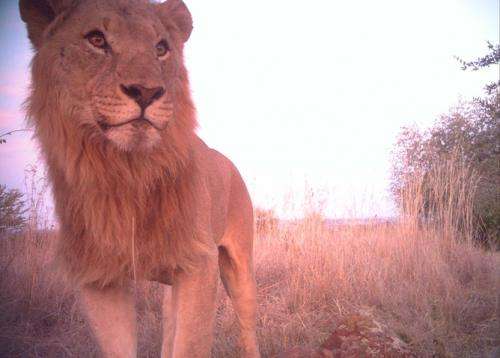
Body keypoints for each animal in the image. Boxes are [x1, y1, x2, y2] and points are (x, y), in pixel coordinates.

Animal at [17, 0, 260, 356]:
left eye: (161, 48)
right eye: (96, 39)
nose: (146, 92)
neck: (127, 171)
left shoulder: (199, 264)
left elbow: (191, 344)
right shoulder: (98, 278)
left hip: (238, 268)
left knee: (247, 328)